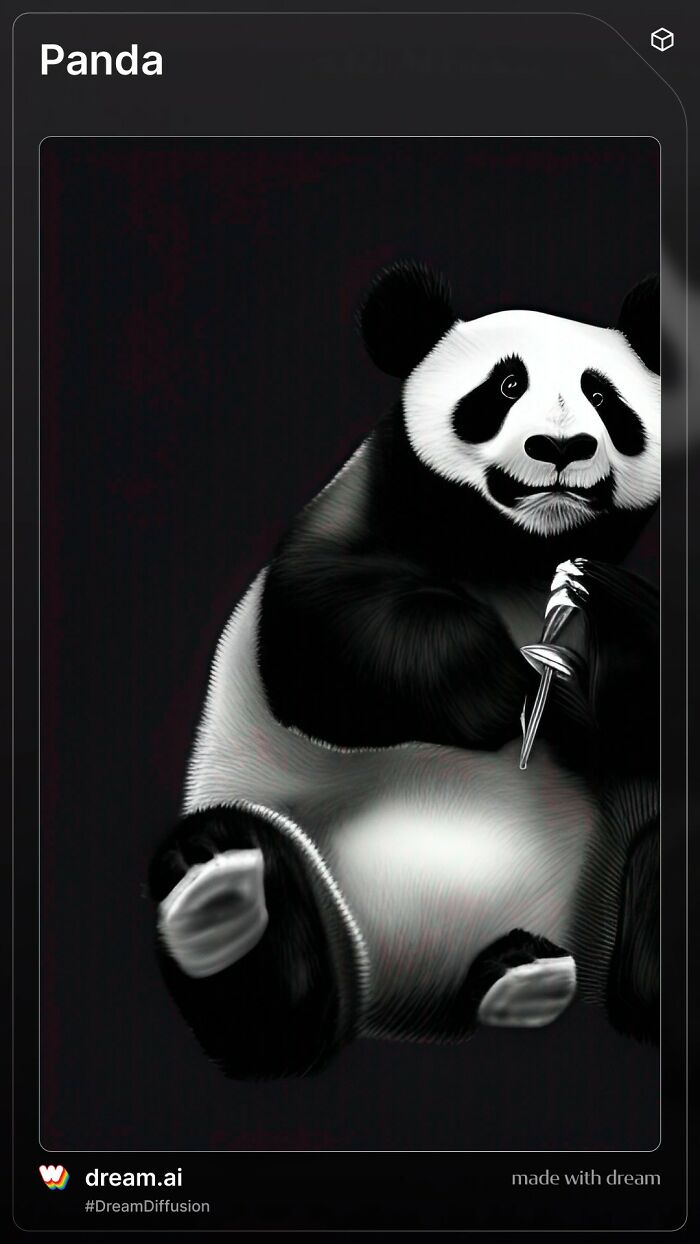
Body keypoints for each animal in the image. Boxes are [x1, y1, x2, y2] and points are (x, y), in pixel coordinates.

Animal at [148, 261, 660, 1080]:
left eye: (604, 396)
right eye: (505, 385)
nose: (561, 446)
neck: (513, 554)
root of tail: (412, 1003)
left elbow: (643, 702)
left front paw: (587, 647)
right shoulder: (345, 520)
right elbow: (328, 638)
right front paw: (509, 683)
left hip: (610, 871)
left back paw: (535, 978)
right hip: (309, 858)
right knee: (274, 975)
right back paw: (220, 903)